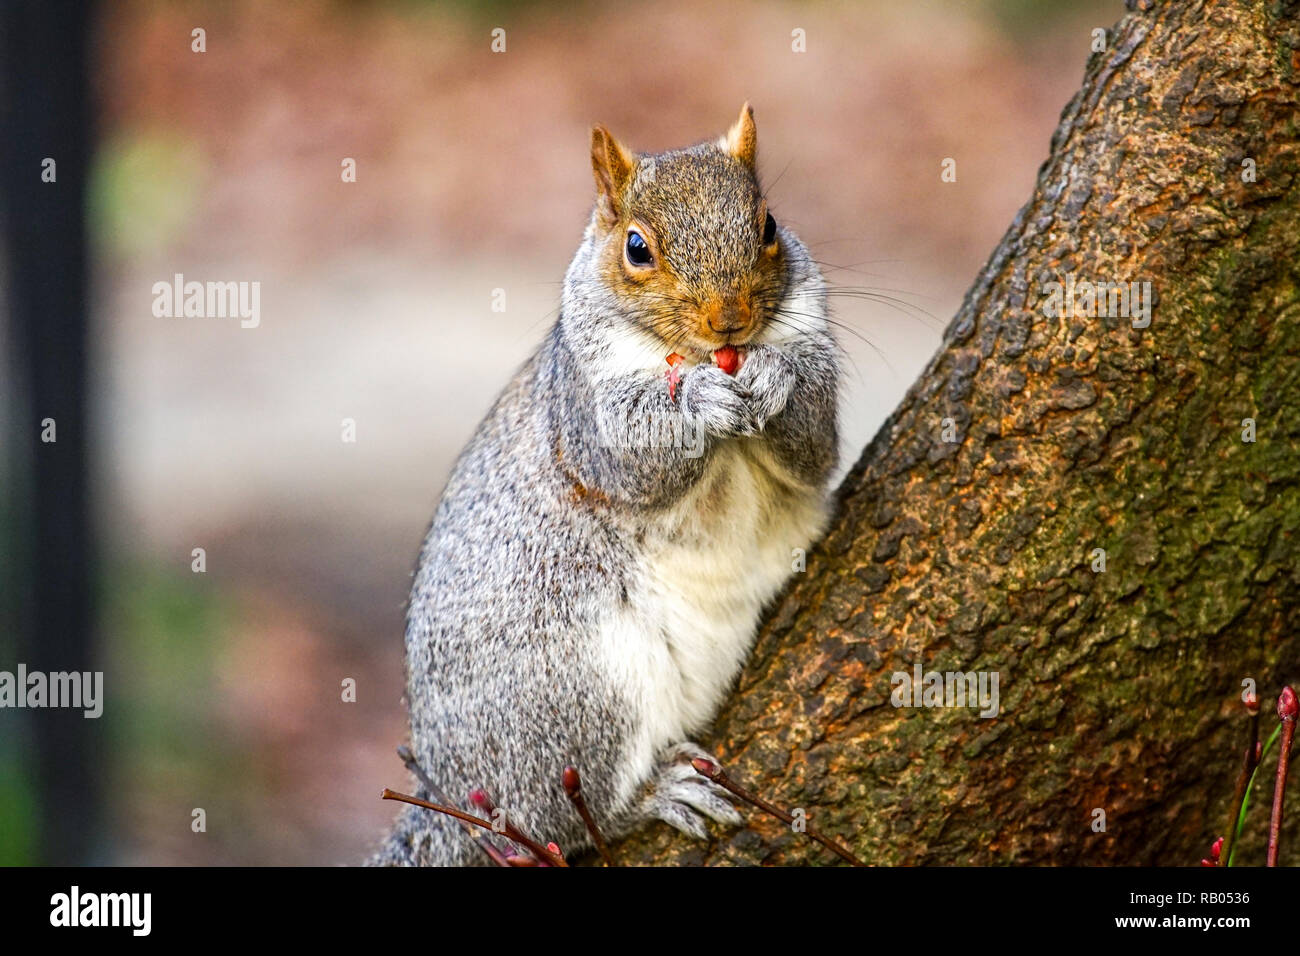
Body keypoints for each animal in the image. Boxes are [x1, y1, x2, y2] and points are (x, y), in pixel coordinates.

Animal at [374, 104, 842, 868]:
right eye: (637, 248)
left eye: (769, 223)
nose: (731, 322)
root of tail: (450, 803)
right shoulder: (584, 413)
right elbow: (630, 458)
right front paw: (697, 403)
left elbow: (815, 447)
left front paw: (777, 379)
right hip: (576, 696)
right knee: (565, 814)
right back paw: (653, 796)